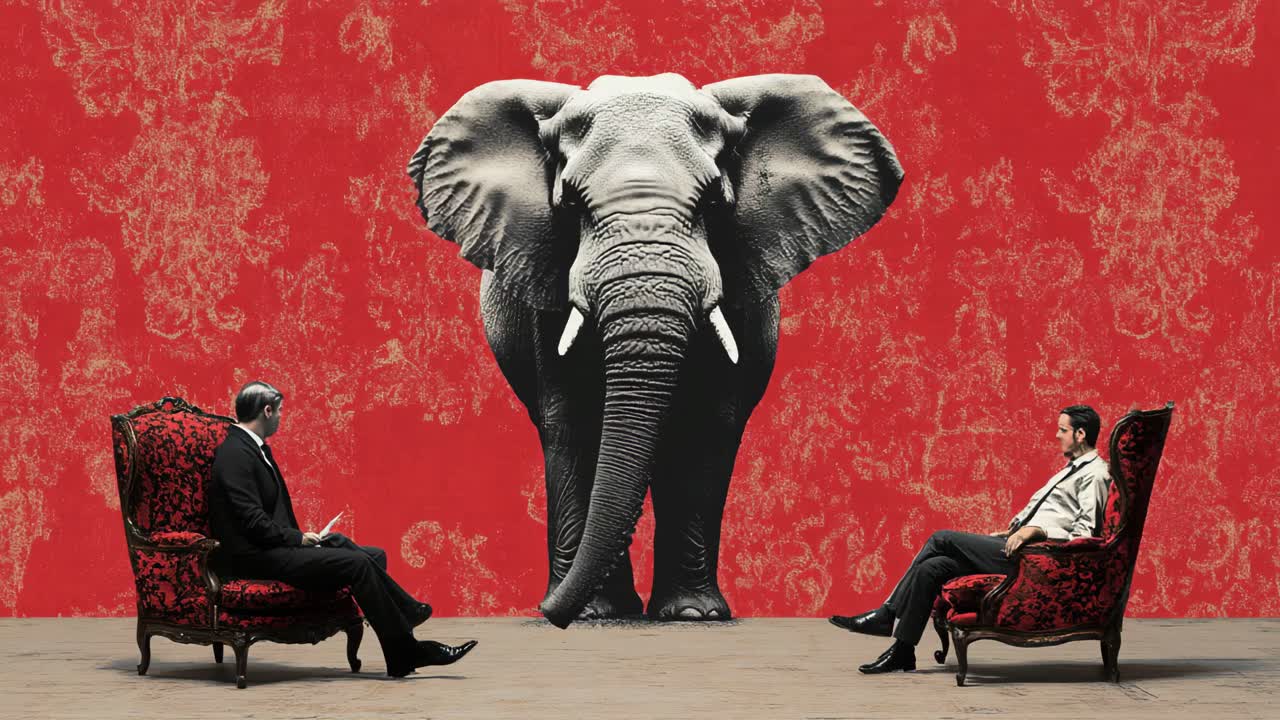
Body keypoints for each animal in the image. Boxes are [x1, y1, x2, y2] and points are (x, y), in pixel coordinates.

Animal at [407, 73, 902, 629]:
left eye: (712, 205)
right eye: (572, 207)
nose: (548, 613)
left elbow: (705, 424)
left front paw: (693, 614)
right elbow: (575, 419)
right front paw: (594, 613)